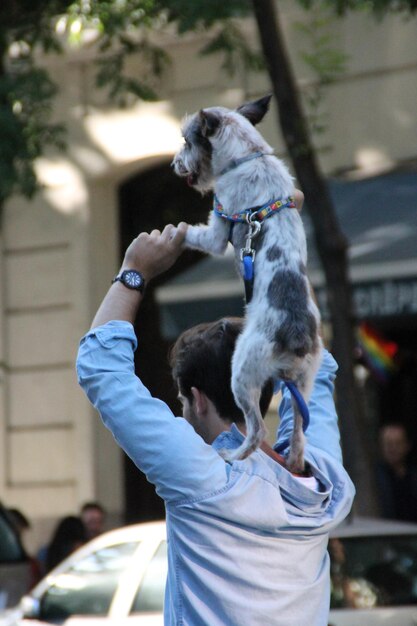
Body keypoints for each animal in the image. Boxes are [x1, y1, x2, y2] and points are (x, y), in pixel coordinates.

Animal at [172, 95, 322, 470]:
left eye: (186, 141)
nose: (173, 164)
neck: (247, 154)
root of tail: (296, 336)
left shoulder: (216, 229)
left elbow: (188, 232)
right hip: (304, 383)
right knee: (298, 435)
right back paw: (293, 460)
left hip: (241, 372)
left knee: (256, 430)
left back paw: (232, 454)